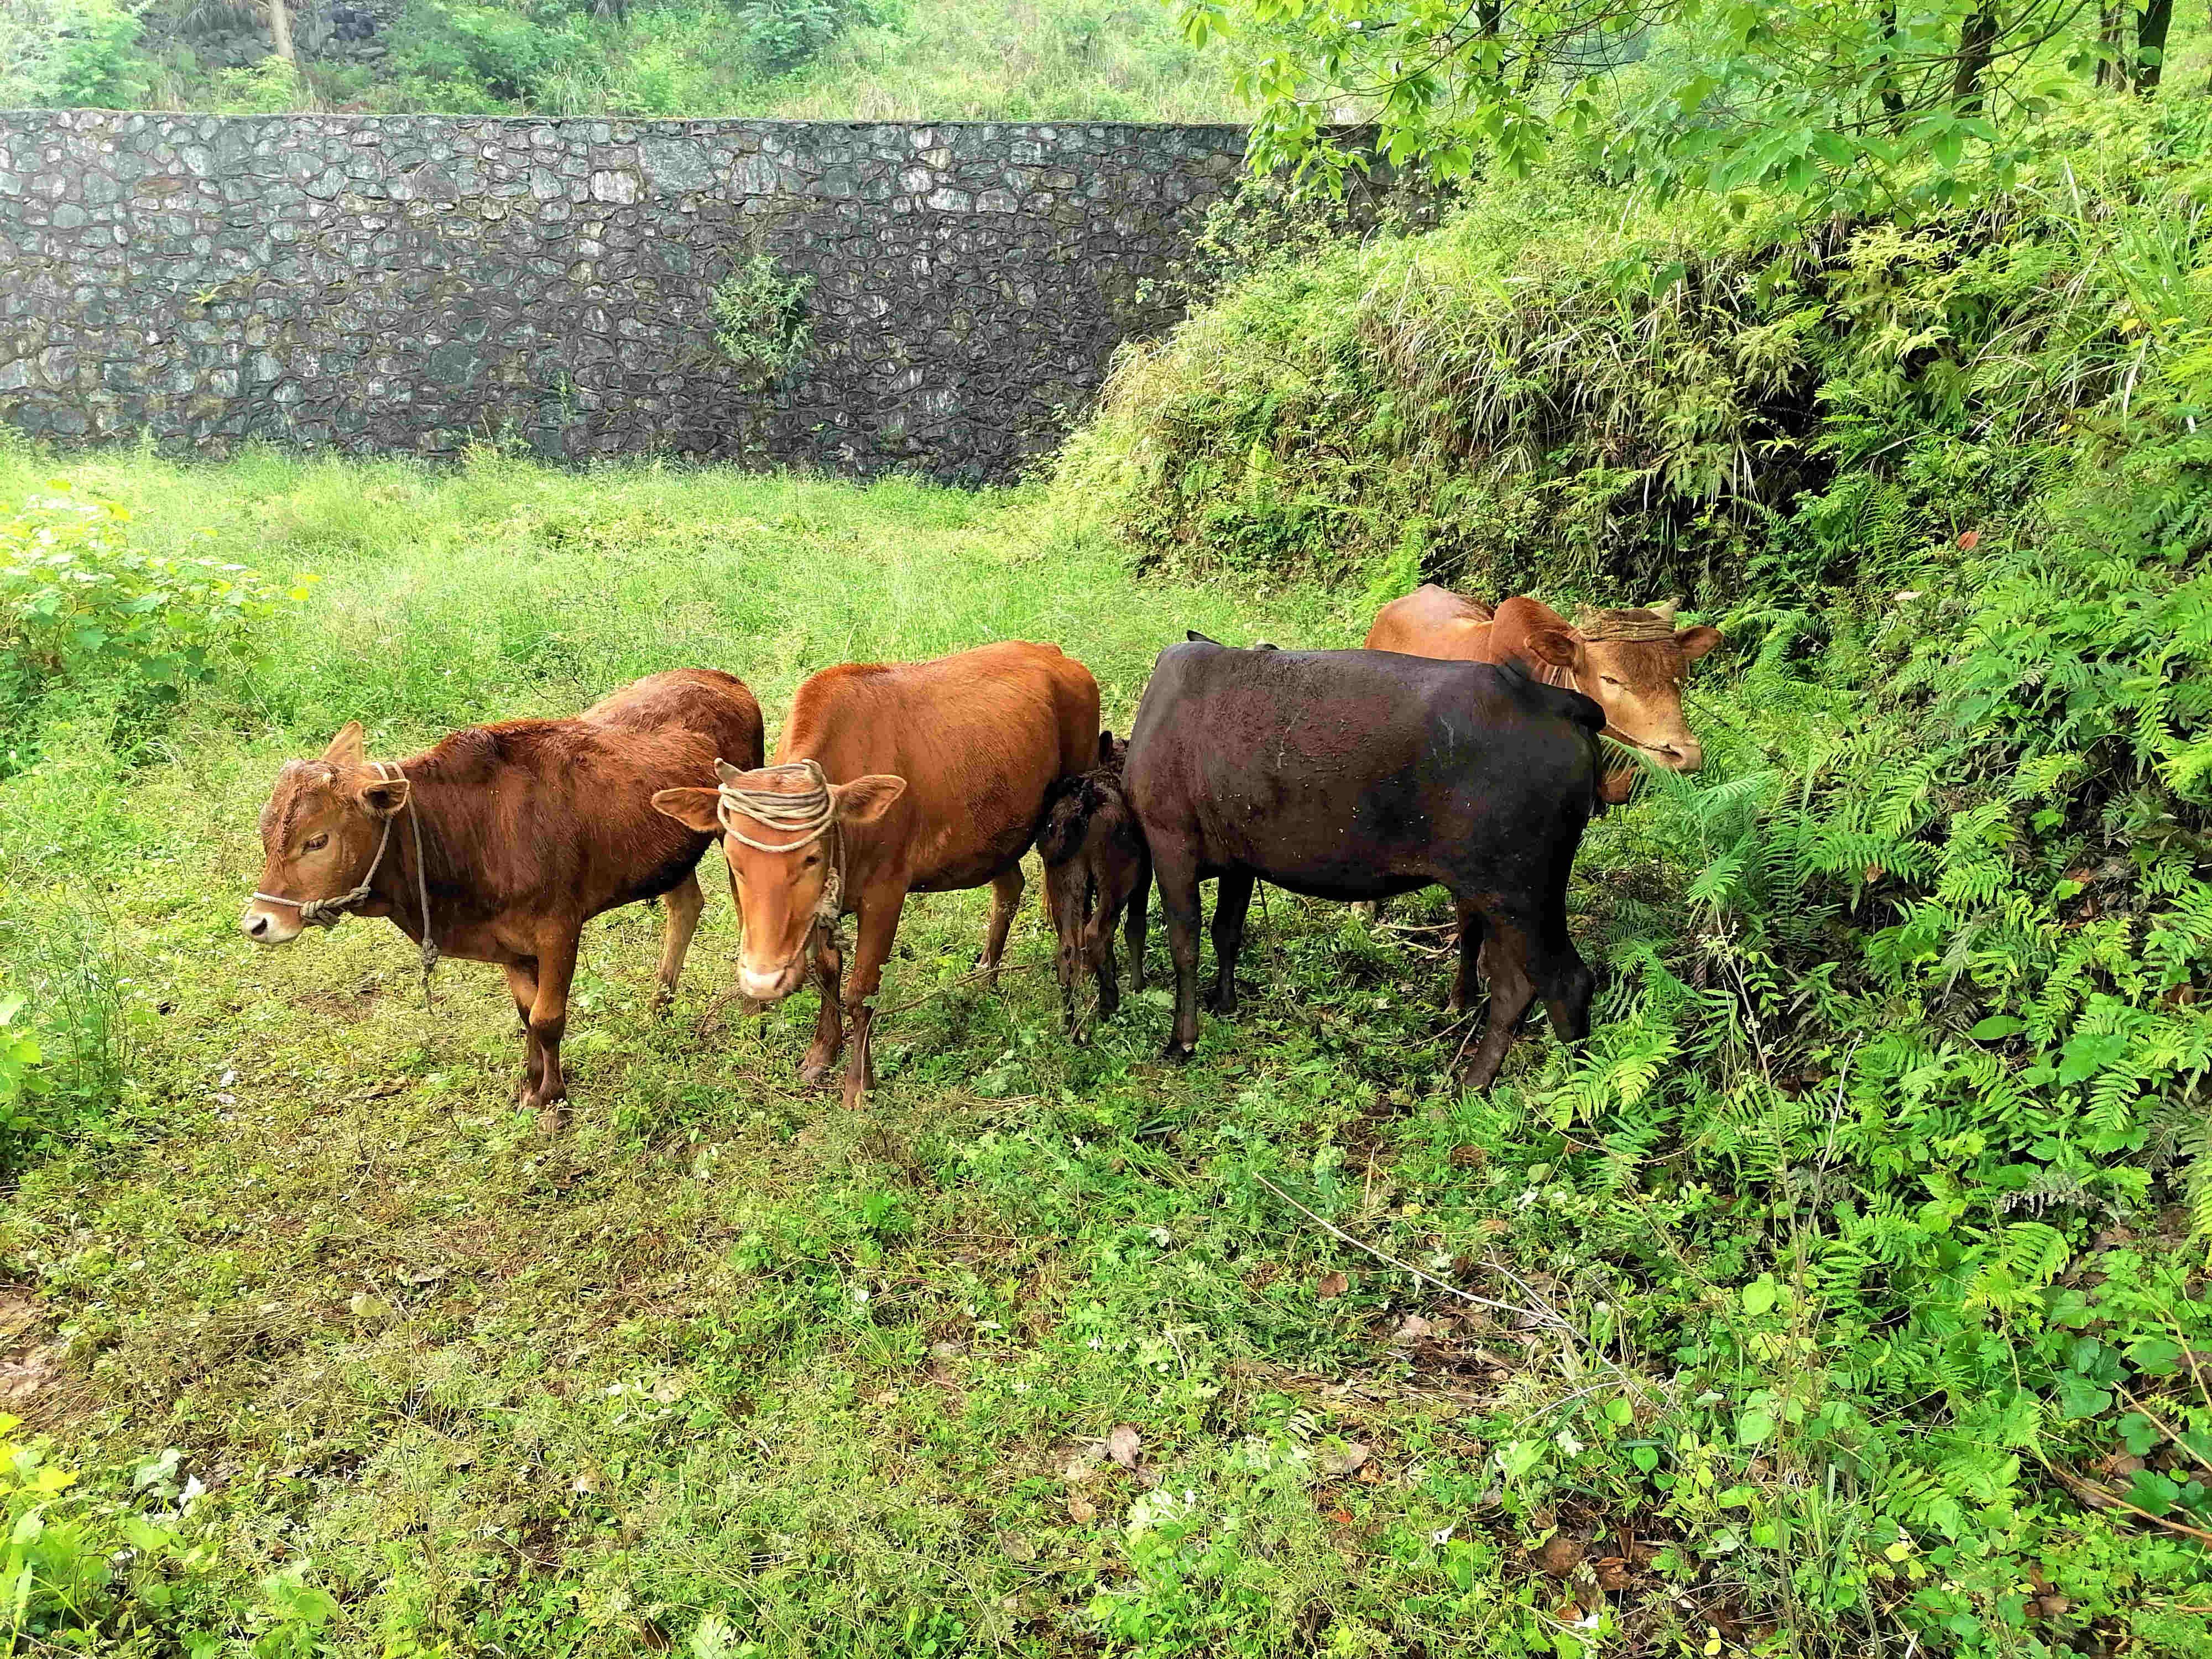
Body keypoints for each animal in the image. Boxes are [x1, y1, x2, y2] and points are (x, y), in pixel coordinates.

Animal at [238, 672, 765, 1133]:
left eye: (317, 840)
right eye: (266, 831)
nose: (258, 923)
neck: (469, 828)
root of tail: (723, 680)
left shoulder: (559, 929)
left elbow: (548, 1018)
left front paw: (554, 1102)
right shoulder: (508, 943)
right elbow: (526, 1013)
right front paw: (533, 1088)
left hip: (733, 834)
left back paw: (751, 1007)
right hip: (670, 856)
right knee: (686, 906)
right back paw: (659, 1004)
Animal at [655, 641, 1106, 1110]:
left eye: (811, 858)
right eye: (734, 858)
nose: (763, 981)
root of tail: (1053, 654)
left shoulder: (885, 896)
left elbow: (861, 992)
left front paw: (859, 1084)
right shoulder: (825, 908)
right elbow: (828, 974)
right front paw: (821, 1054)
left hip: (1065, 829)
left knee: (1070, 921)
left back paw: (1074, 1003)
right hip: (997, 835)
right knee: (1010, 889)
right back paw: (987, 976)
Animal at [1035, 726, 1150, 1040]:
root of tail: (1082, 805)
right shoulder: (1144, 877)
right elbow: (1135, 928)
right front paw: (1138, 986)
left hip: (1063, 881)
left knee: (1068, 948)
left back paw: (1073, 1028)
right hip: (1117, 880)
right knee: (1095, 935)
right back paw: (1109, 1005)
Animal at [1133, 637, 1601, 1093]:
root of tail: (1553, 700)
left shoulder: (1169, 841)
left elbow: (1184, 946)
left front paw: (1182, 1040)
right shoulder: (1237, 862)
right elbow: (1225, 932)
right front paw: (1224, 1003)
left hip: (1521, 892)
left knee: (1568, 985)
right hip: (1494, 895)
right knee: (1512, 989)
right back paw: (1473, 1082)